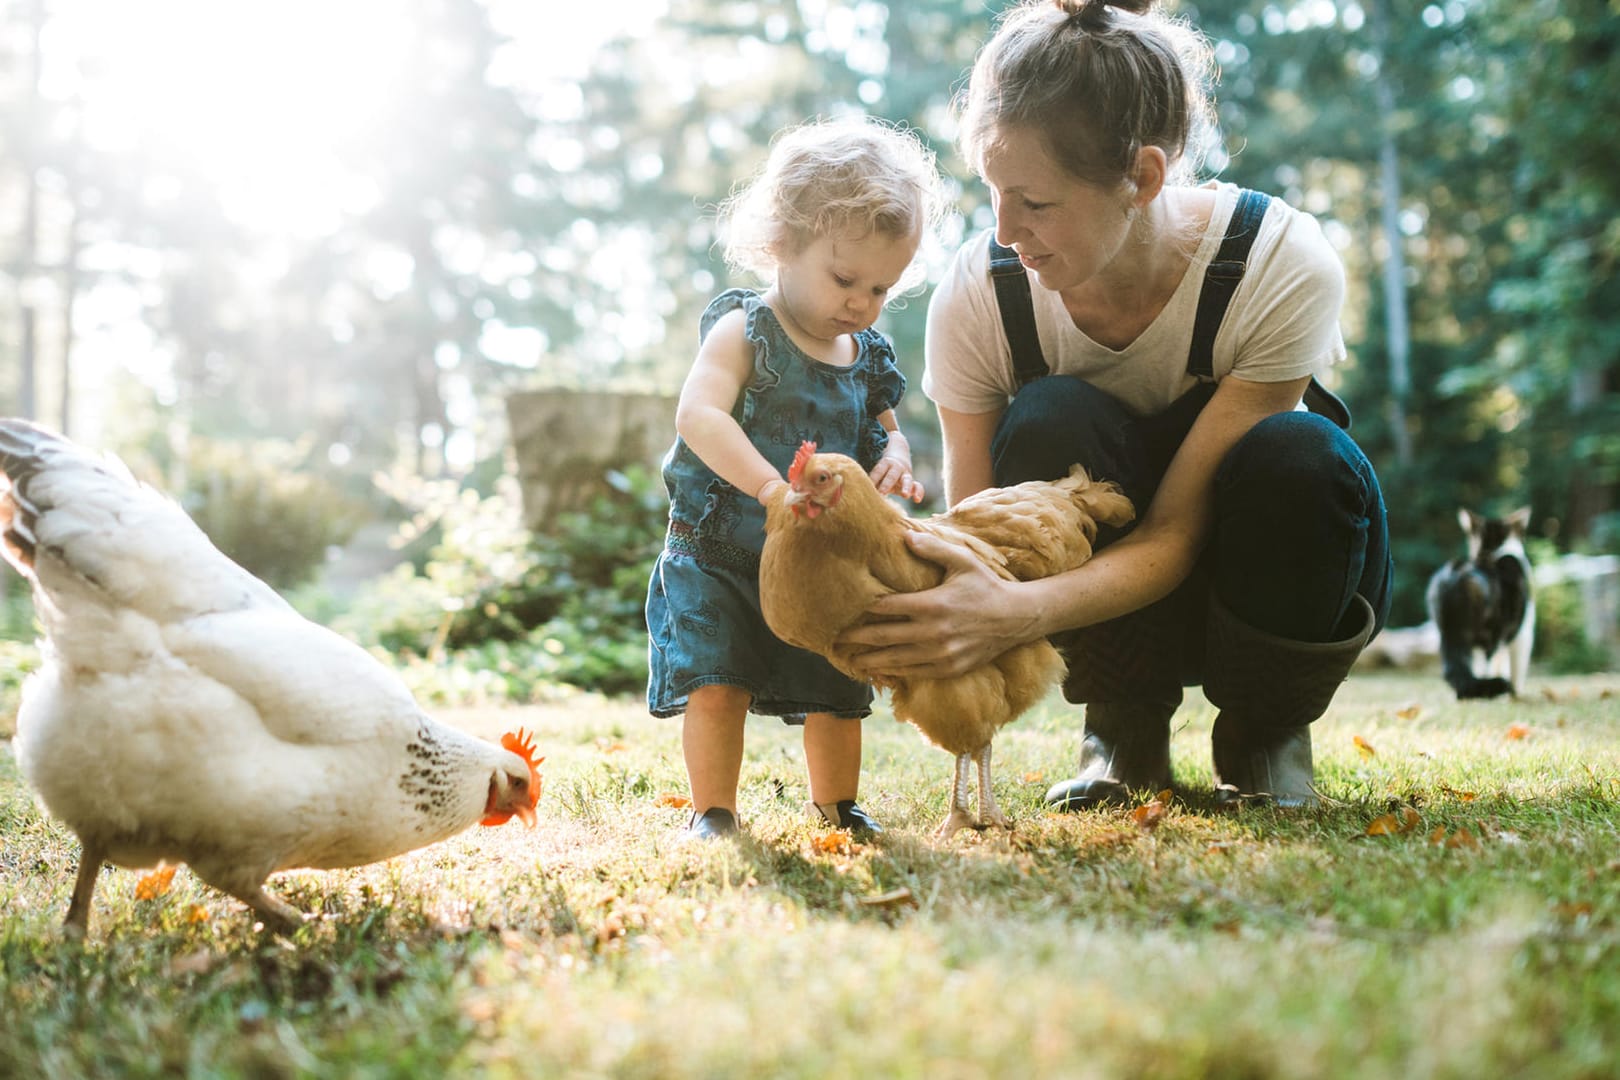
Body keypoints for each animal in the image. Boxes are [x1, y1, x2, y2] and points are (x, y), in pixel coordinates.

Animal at [1425, 508, 1535, 702]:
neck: (1491, 551)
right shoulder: (1523, 633)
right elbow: (1516, 667)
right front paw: (1515, 693)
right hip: (1491, 634)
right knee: (1486, 666)